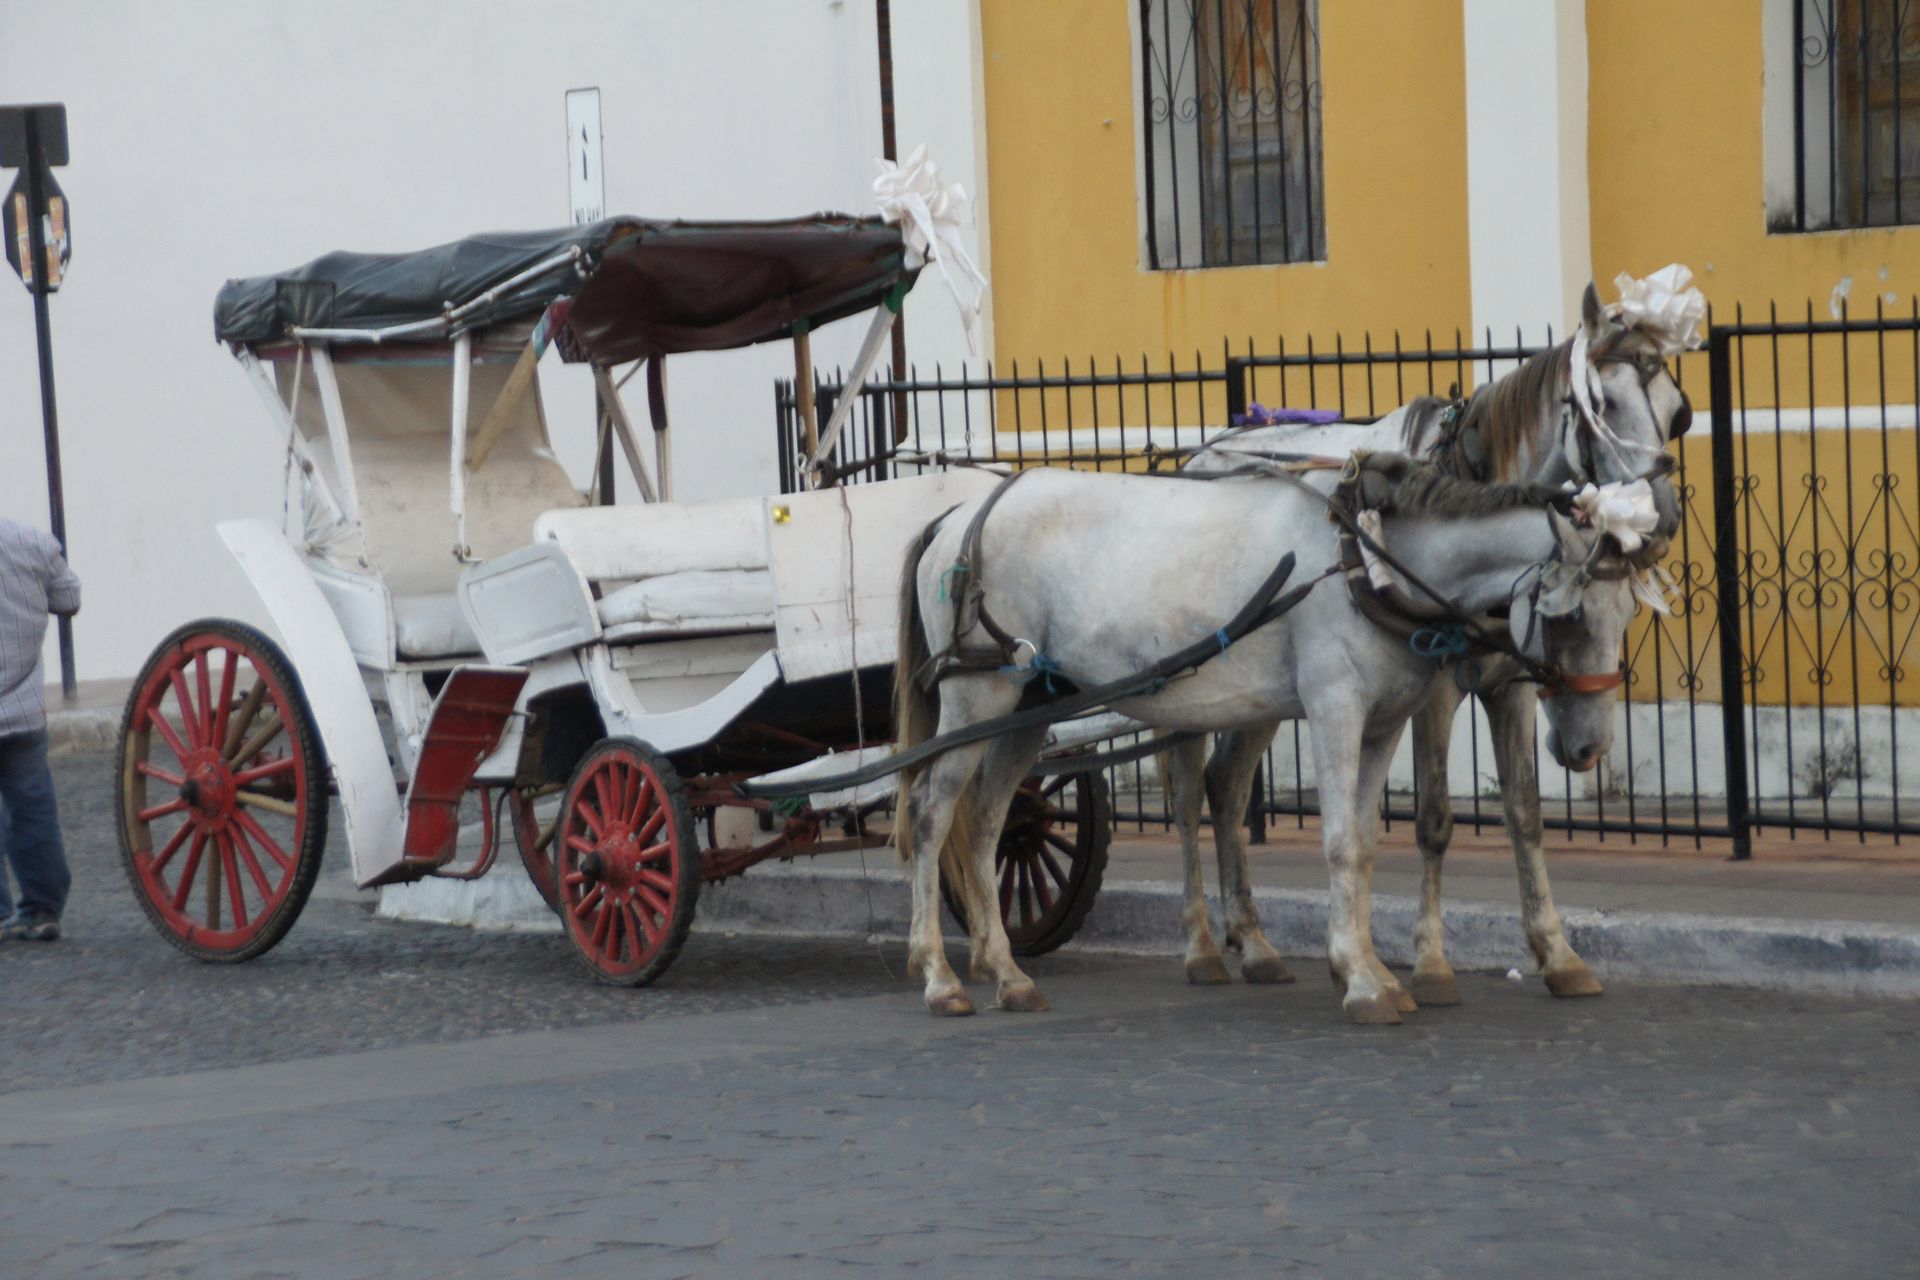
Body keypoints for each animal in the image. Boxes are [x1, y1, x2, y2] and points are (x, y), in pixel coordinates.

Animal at [892, 452, 1649, 1024]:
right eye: (1572, 618)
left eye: (1627, 614)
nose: (1588, 749)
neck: (1365, 559)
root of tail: (957, 519)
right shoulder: (1336, 706)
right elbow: (1341, 843)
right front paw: (1363, 979)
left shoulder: (1384, 720)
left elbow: (1365, 843)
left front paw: (1369, 967)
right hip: (976, 695)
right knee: (932, 813)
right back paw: (940, 975)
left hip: (1032, 701)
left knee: (987, 820)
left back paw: (1005, 970)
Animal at [1161, 281, 1694, 1003]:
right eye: (1602, 404)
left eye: (1677, 412)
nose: (1659, 517)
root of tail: (1204, 455)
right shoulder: (1432, 690)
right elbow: (1435, 818)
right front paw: (1432, 962)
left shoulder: (1509, 686)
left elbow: (1525, 811)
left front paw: (1556, 952)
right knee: (1190, 792)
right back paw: (1200, 945)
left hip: (1258, 687)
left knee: (1228, 785)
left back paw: (1254, 942)